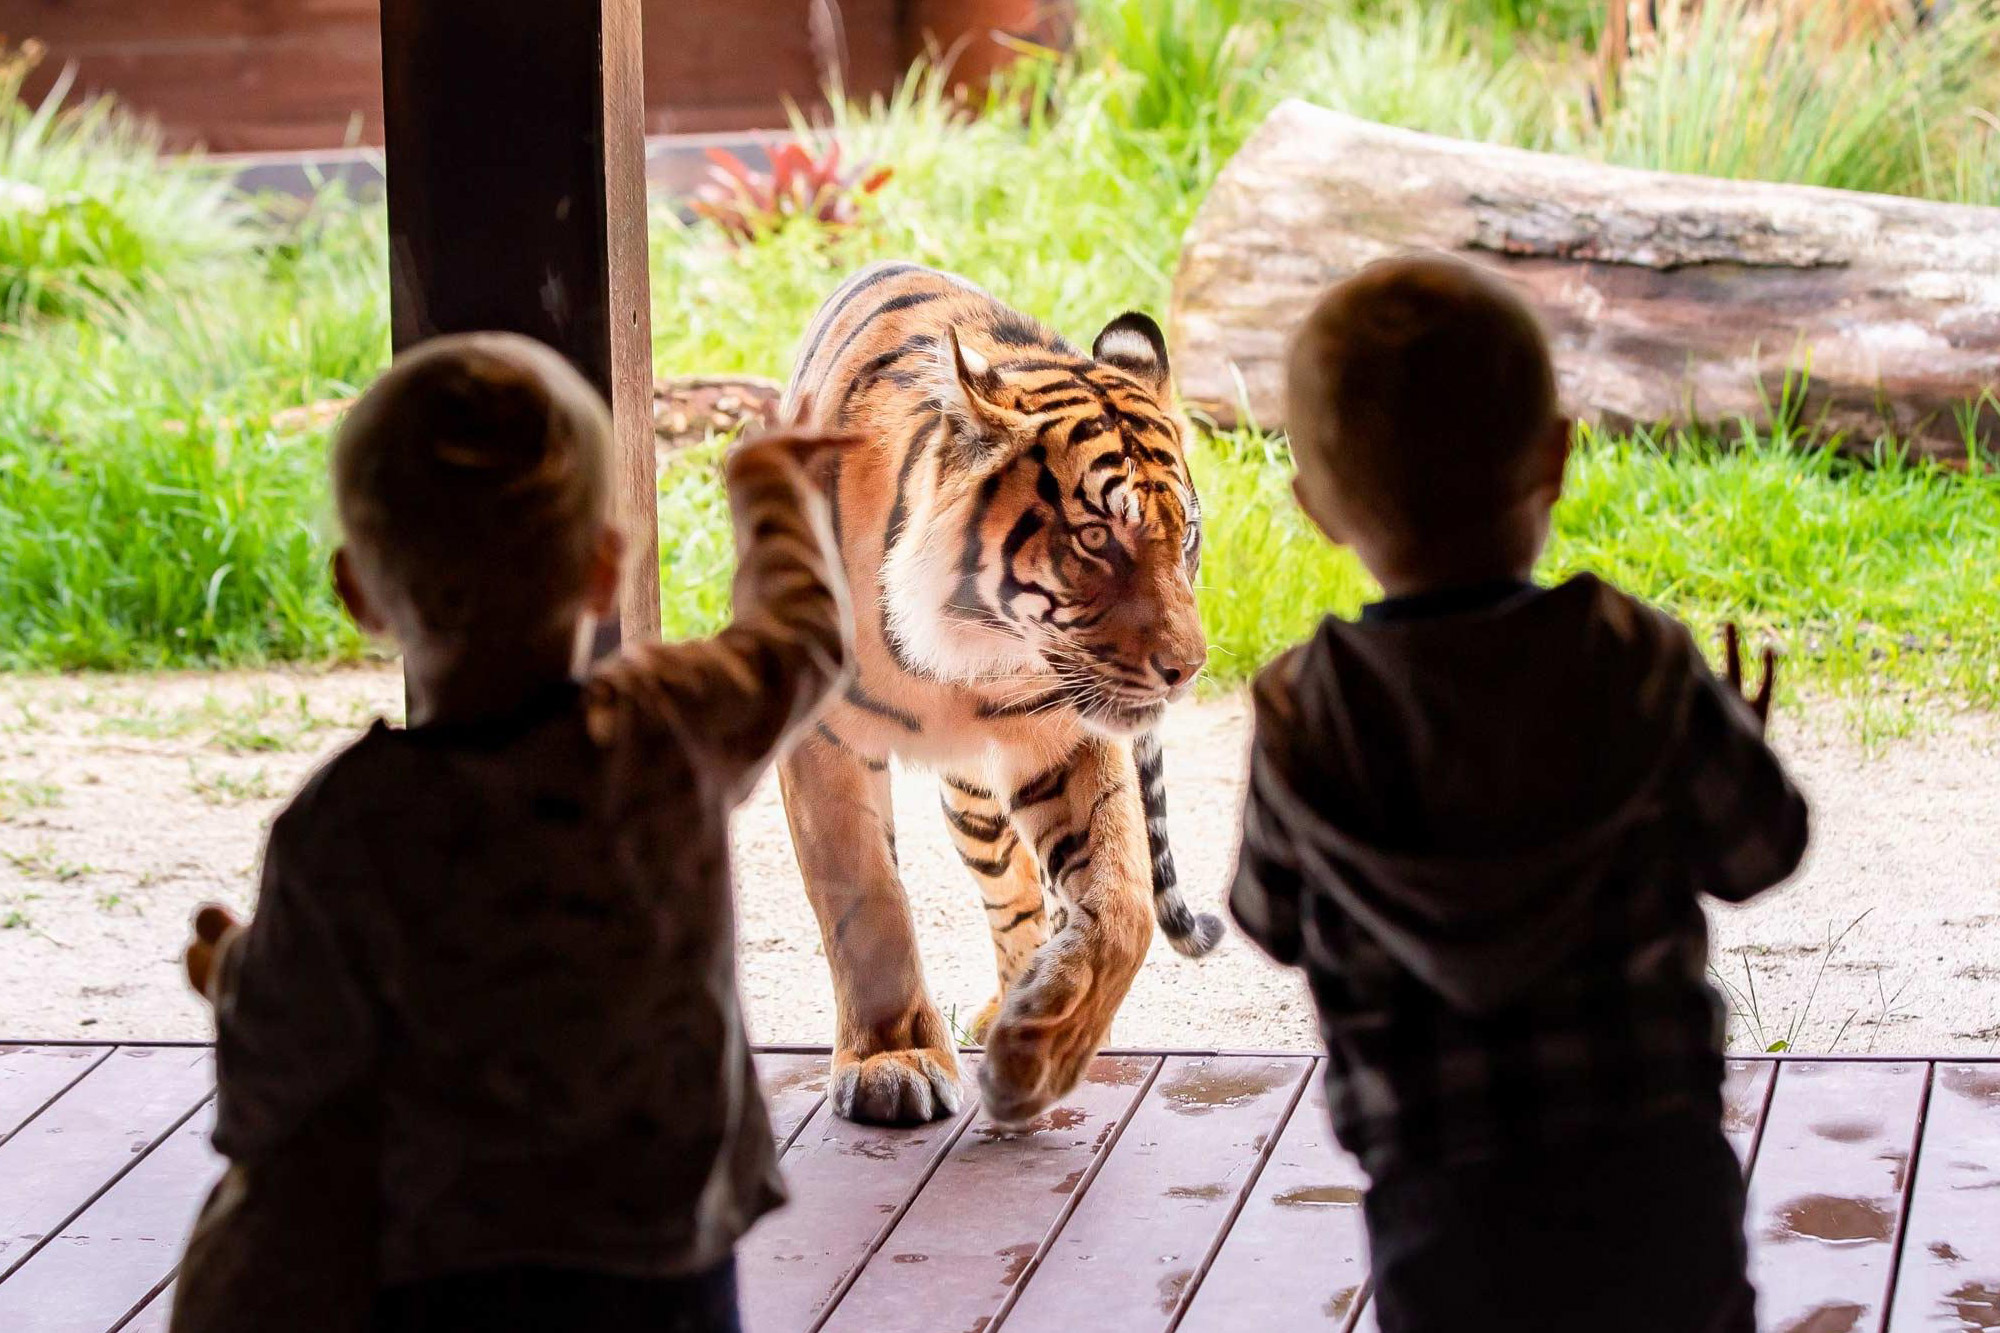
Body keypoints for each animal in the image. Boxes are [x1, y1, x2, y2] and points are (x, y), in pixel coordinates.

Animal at [776, 260, 1216, 1120]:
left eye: (1186, 535)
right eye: (1096, 537)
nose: (1189, 668)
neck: (964, 653)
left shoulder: (1066, 732)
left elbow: (1121, 902)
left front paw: (1037, 1054)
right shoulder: (822, 737)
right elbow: (865, 898)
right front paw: (891, 1061)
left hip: (977, 795)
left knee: (1023, 894)